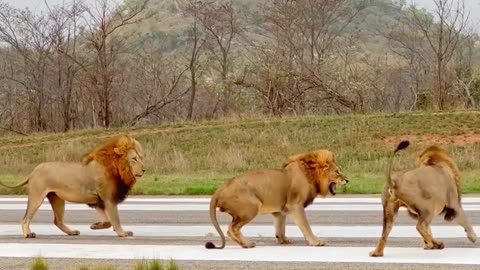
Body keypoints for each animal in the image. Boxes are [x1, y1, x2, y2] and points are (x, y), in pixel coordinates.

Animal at [0, 136, 146, 237]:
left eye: (141, 157)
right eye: (134, 159)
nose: (144, 170)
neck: (115, 168)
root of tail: (34, 171)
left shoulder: (98, 201)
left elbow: (108, 221)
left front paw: (96, 225)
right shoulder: (109, 199)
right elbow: (115, 219)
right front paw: (123, 233)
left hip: (57, 199)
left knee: (57, 221)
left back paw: (71, 232)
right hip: (37, 197)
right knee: (25, 218)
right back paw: (28, 234)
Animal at [205, 150, 348, 249]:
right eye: (337, 172)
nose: (347, 180)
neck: (311, 176)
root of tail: (220, 189)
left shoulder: (280, 210)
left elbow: (280, 227)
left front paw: (283, 240)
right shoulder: (295, 205)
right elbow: (305, 225)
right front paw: (315, 242)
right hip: (251, 207)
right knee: (232, 229)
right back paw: (248, 244)